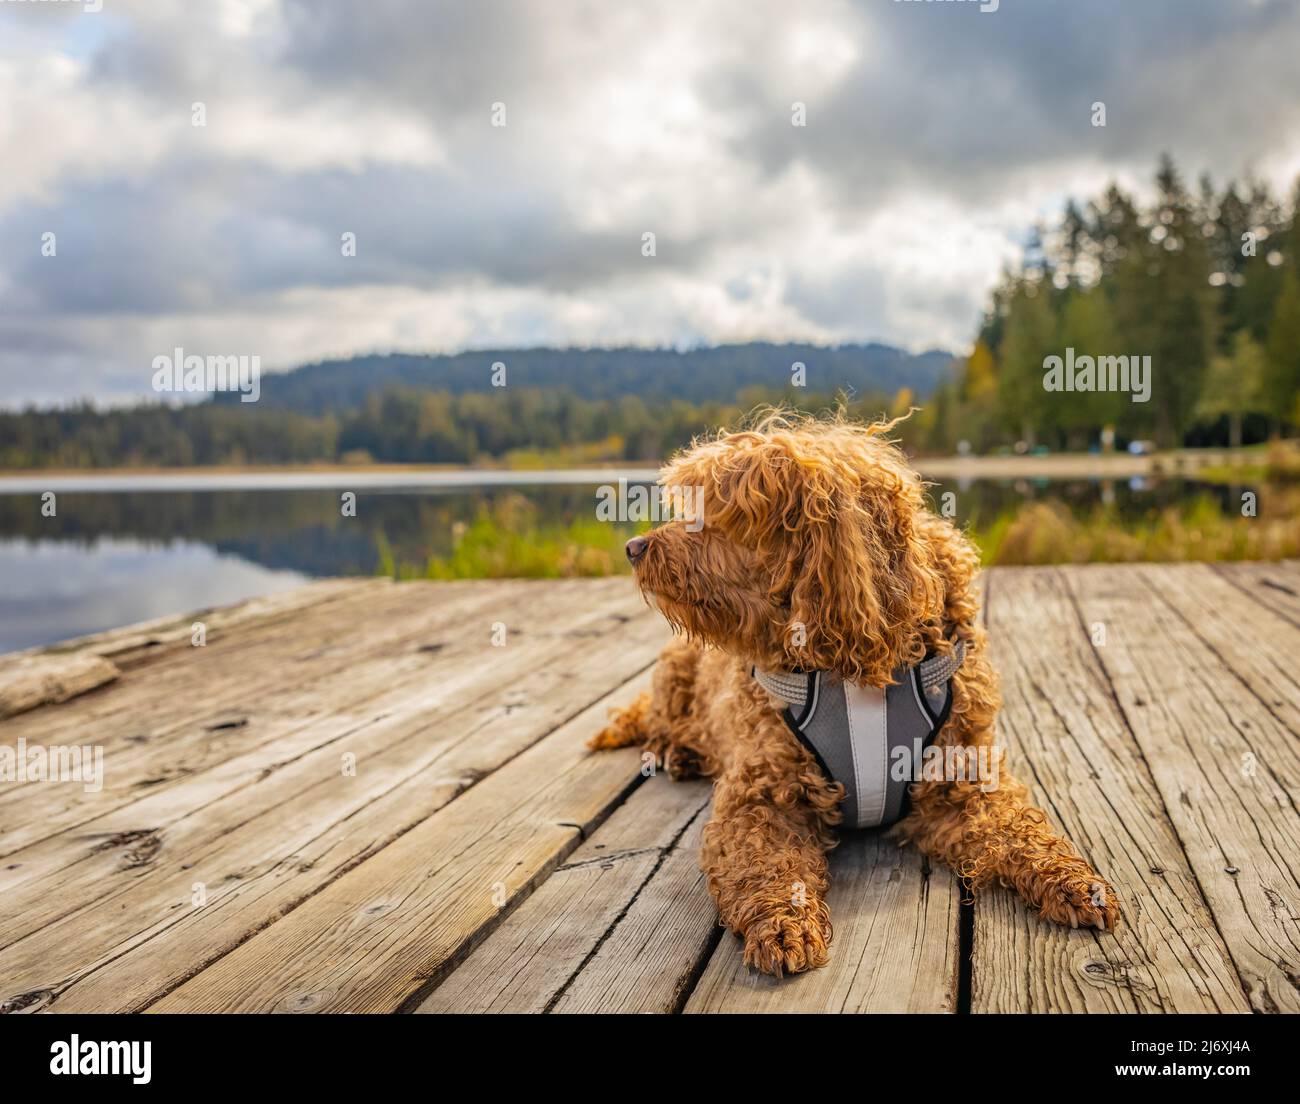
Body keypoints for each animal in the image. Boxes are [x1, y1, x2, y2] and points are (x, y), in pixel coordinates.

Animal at [587, 410, 1118, 972]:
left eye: (724, 509)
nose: (634, 547)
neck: (855, 665)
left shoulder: (964, 781)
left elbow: (1021, 829)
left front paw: (1072, 879)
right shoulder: (760, 796)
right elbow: (765, 863)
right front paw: (783, 921)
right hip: (674, 671)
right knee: (662, 720)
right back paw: (678, 750)